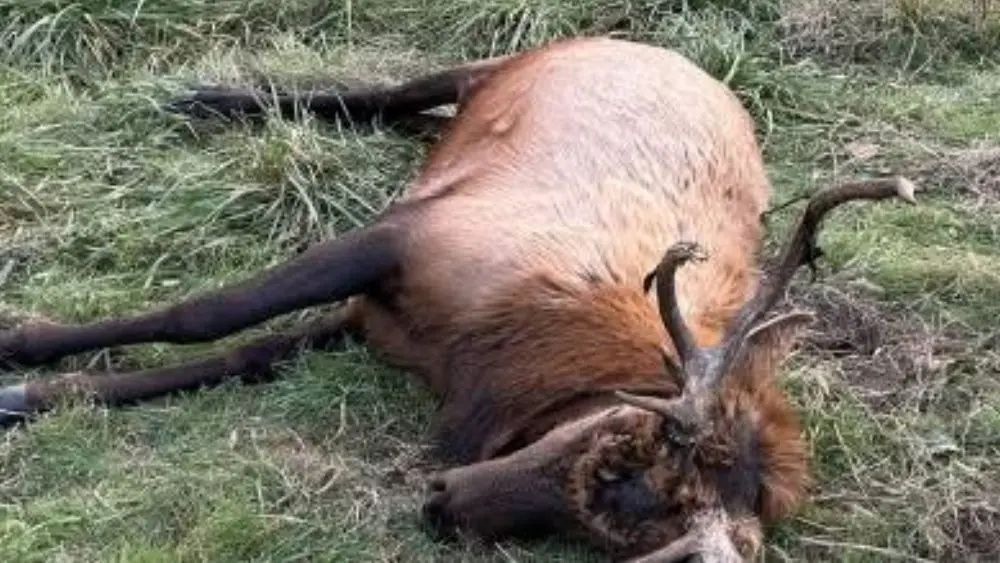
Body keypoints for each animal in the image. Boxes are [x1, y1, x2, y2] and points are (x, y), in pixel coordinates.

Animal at [0, 37, 917, 562]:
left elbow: (237, 354)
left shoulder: (378, 319)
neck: (490, 358)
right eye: (616, 444)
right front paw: (19, 347)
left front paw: (39, 392)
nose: (442, 505)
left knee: (415, 119)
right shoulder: (401, 239)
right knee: (385, 94)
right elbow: (206, 314)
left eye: (617, 536)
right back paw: (213, 96)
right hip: (486, 71)